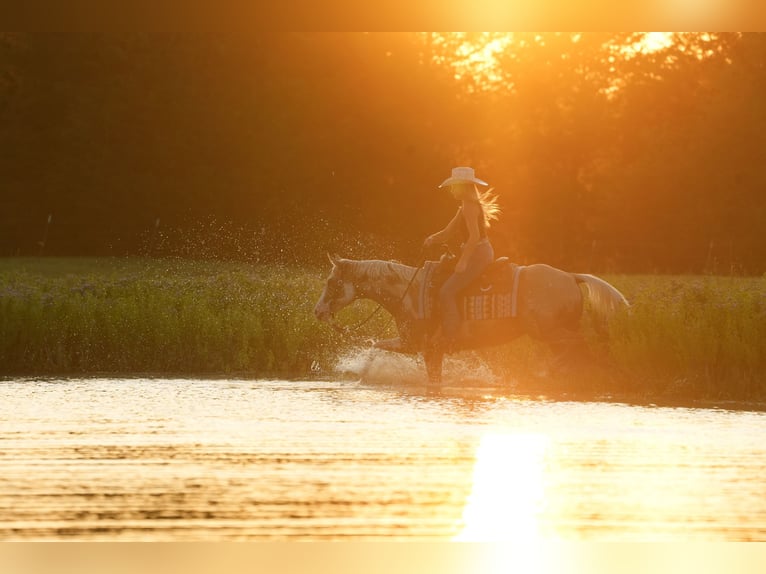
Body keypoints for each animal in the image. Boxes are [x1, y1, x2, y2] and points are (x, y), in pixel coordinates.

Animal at [314, 255, 632, 388]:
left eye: (332, 282)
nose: (318, 312)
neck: (409, 291)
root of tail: (571, 277)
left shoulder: (418, 345)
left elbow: (374, 347)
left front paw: (360, 373)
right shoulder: (424, 349)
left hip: (550, 332)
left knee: (583, 346)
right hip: (555, 333)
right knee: (579, 352)